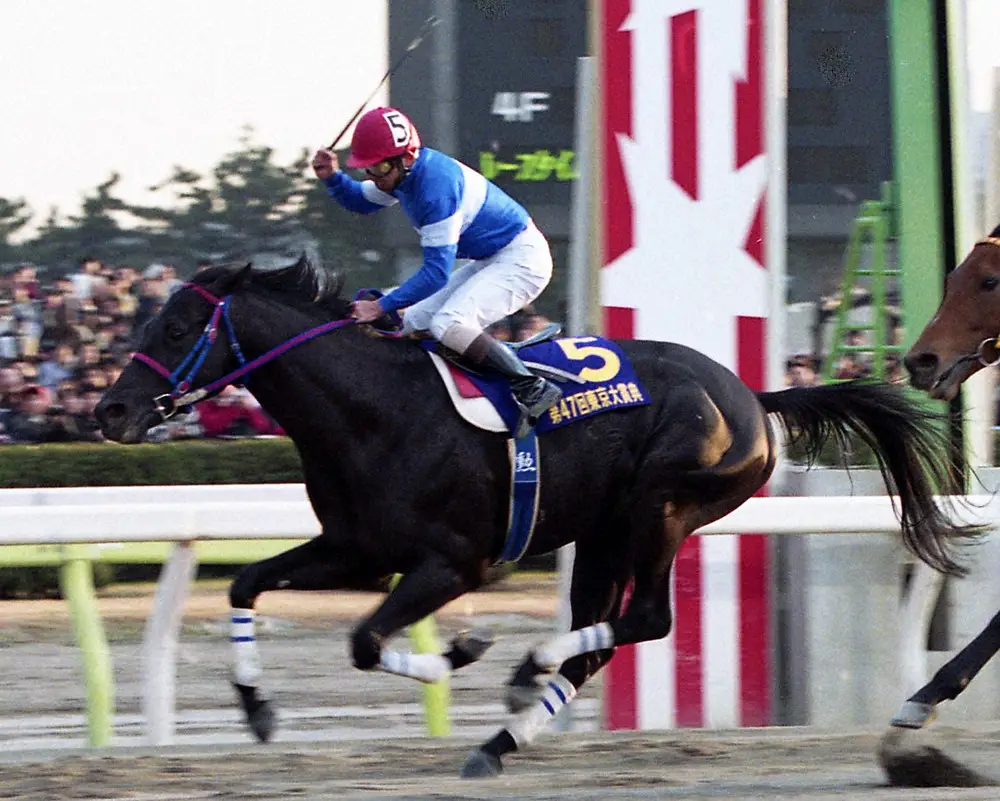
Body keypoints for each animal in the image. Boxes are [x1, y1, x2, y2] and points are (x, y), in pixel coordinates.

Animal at [99, 260, 976, 780]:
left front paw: (465, 647)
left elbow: (365, 640)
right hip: (602, 531)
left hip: (658, 506)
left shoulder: (454, 561)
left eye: (175, 328)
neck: (373, 407)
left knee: (645, 618)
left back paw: (528, 669)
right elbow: (246, 583)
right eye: (142, 320)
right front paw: (255, 707)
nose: (110, 410)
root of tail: (754, 395)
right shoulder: (354, 549)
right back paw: (499, 741)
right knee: (600, 640)